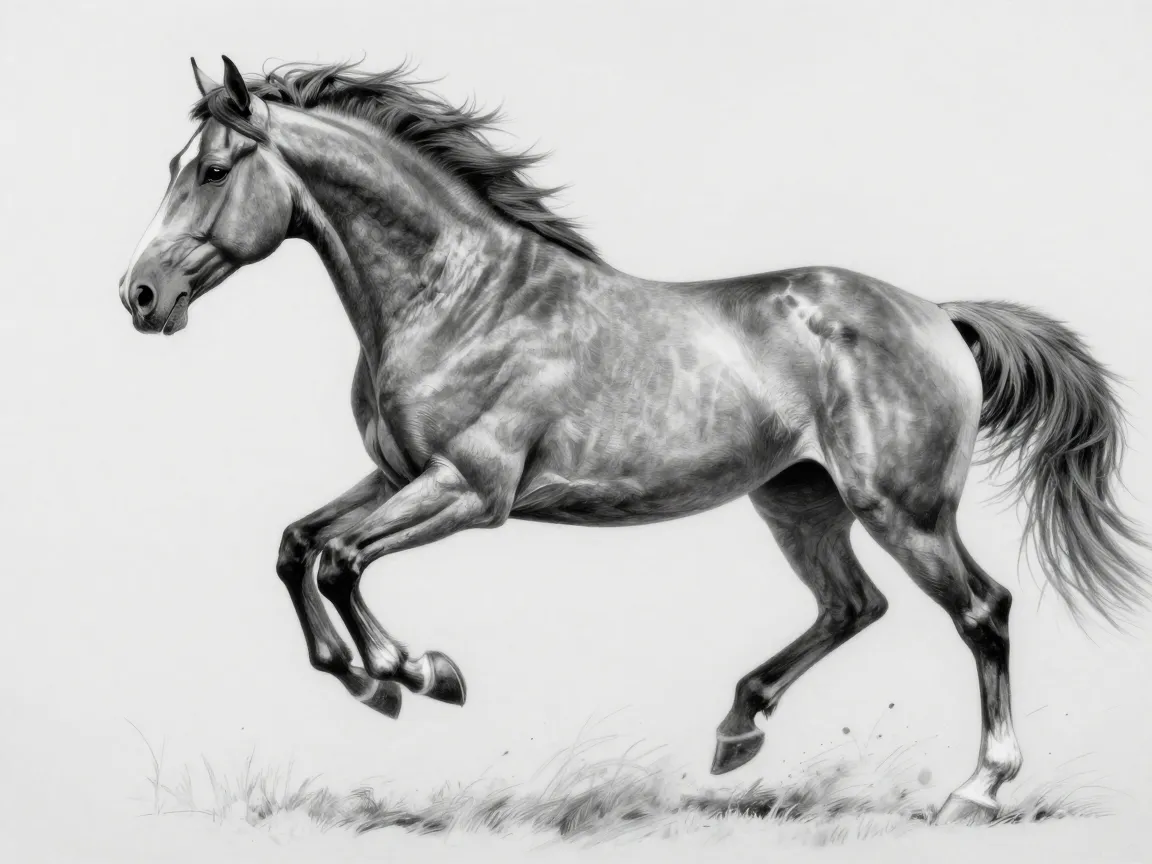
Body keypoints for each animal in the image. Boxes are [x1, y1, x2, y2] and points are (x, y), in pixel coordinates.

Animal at [119, 56, 1150, 824]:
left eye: (213, 169)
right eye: (174, 164)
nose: (140, 296)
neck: (459, 295)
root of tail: (936, 313)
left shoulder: (471, 491)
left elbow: (339, 560)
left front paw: (414, 674)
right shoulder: (395, 473)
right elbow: (298, 545)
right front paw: (366, 677)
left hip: (904, 508)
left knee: (982, 609)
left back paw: (978, 788)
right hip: (798, 501)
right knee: (853, 606)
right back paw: (737, 731)